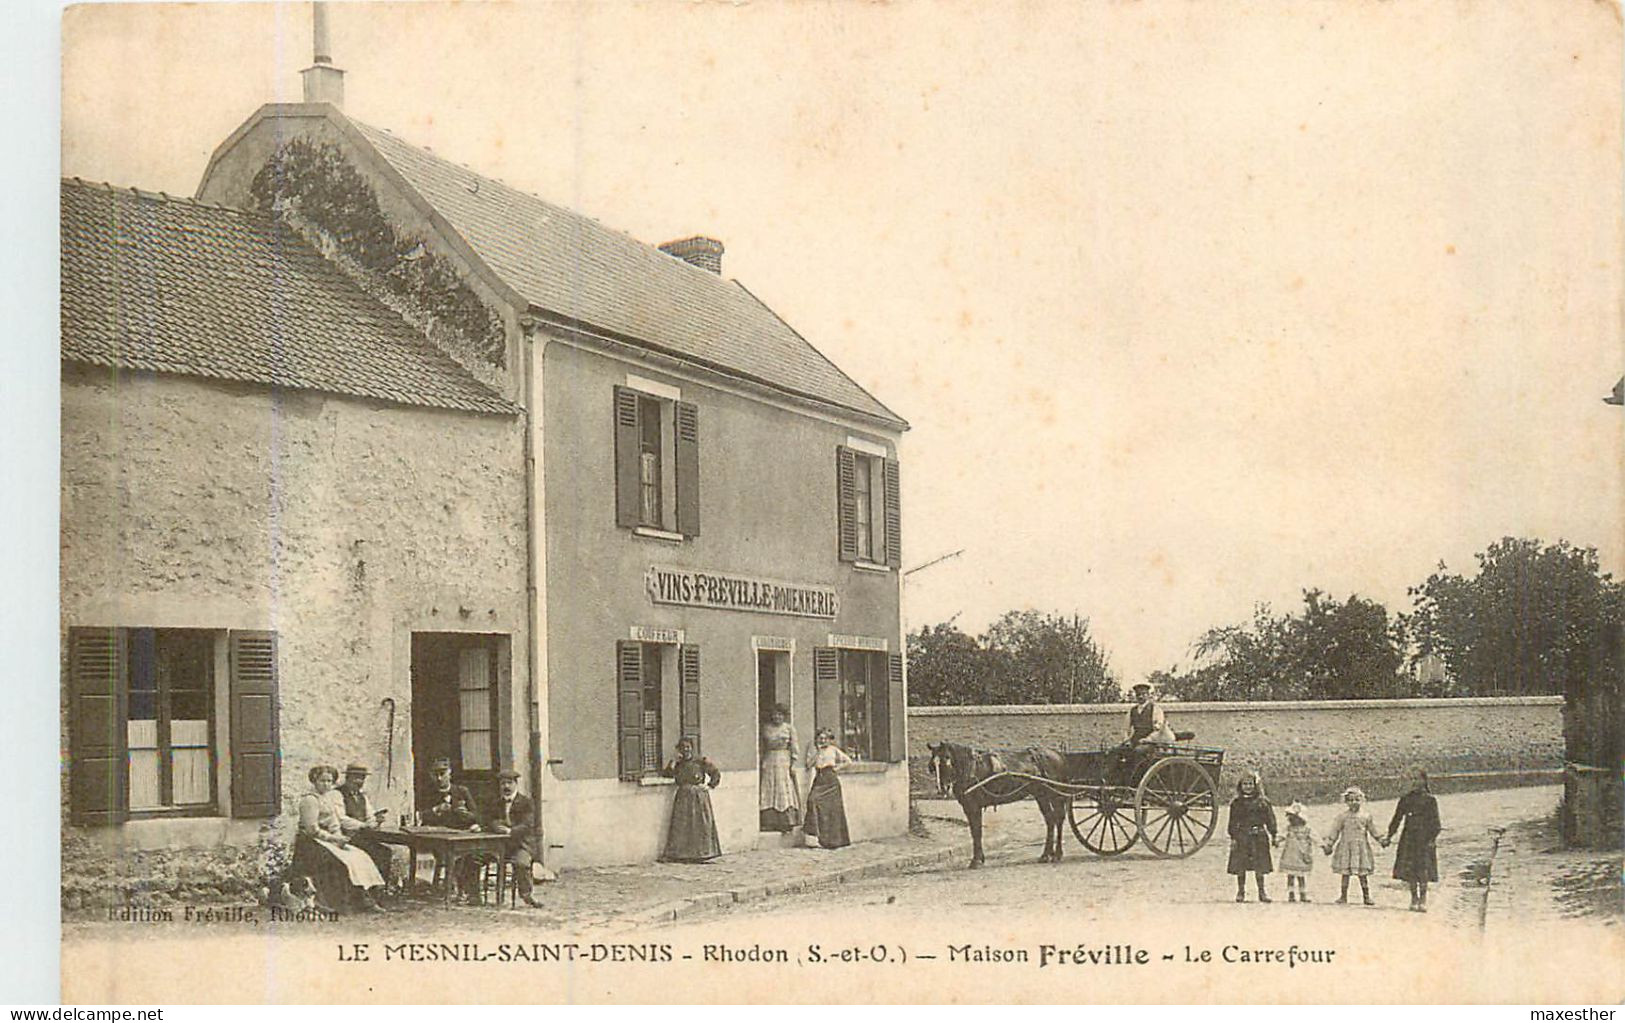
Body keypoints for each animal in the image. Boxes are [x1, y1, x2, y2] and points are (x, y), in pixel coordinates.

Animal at [929, 740, 1079, 870]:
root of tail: (1058, 754)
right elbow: (974, 832)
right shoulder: (968, 807)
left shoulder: (973, 806)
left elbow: (977, 832)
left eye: (947, 759)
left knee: (1058, 819)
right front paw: (980, 858)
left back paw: (1057, 854)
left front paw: (976, 861)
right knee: (1050, 820)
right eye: (932, 766)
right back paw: (1046, 855)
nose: (942, 789)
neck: (971, 768)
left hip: (1054, 794)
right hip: (1041, 796)